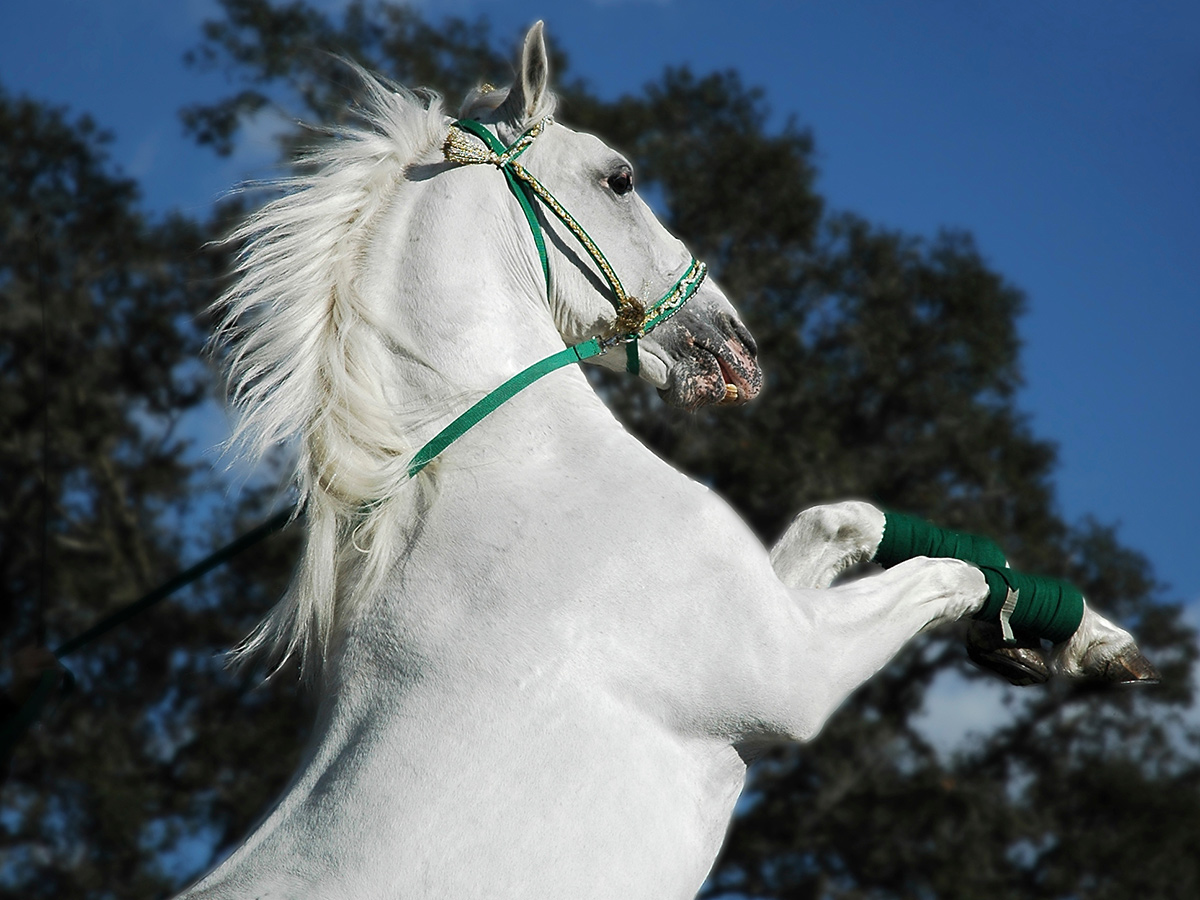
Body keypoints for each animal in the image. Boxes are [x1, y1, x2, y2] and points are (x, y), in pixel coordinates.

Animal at [184, 22, 1152, 900]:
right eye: (620, 177)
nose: (740, 347)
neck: (517, 468)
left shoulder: (773, 597)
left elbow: (848, 519)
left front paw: (1095, 642)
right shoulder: (792, 671)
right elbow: (948, 573)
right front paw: (1053, 632)